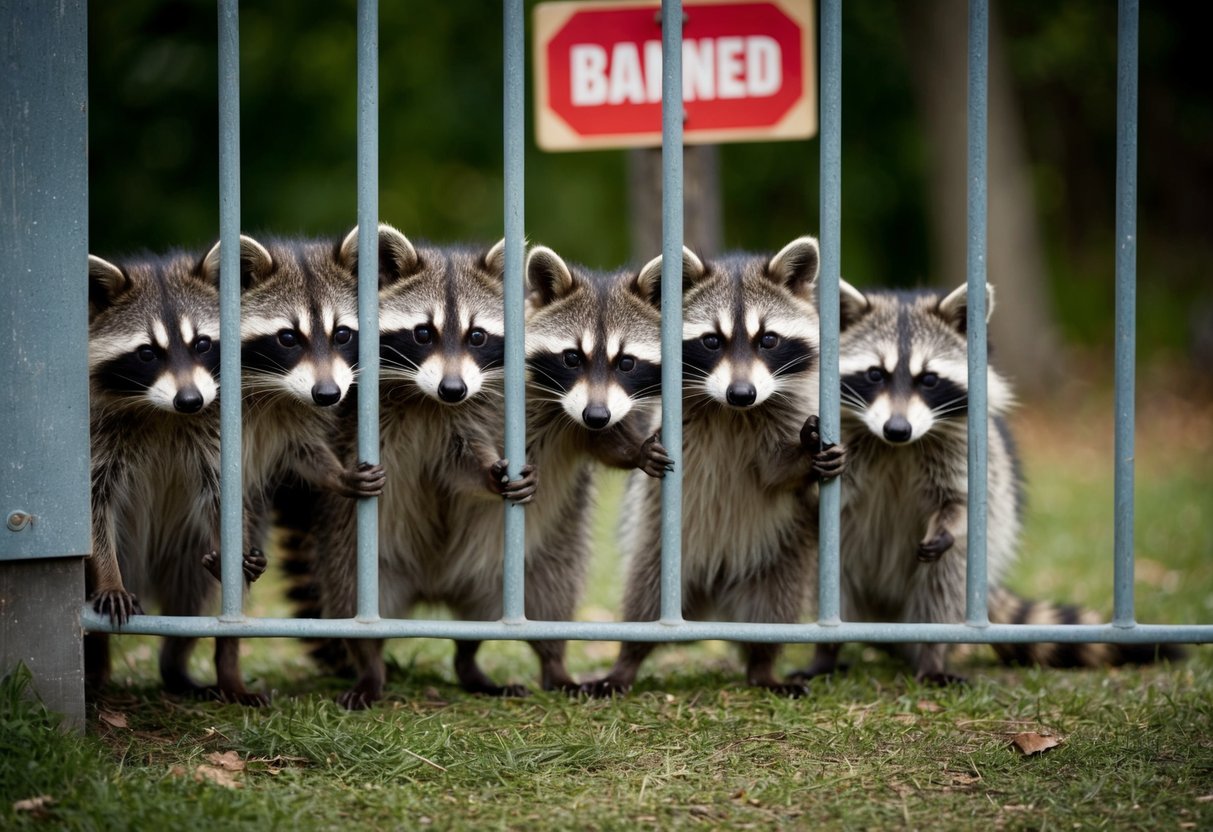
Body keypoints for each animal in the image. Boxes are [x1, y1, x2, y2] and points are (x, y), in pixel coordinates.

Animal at [86, 250, 263, 704]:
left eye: (201, 344)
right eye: (148, 353)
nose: (190, 400)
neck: (162, 411)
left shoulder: (213, 435)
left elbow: (223, 498)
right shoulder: (97, 437)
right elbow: (93, 509)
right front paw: (108, 574)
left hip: (187, 556)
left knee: (206, 599)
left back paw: (209, 668)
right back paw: (96, 666)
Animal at [315, 225, 536, 709]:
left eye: (477, 336)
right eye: (422, 333)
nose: (453, 389)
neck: (430, 399)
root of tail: (428, 585)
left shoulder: (467, 414)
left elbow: (461, 464)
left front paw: (492, 473)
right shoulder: (360, 409)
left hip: (485, 577)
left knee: (485, 615)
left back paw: (472, 666)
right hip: (359, 565)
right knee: (353, 608)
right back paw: (370, 670)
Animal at [583, 237, 846, 697]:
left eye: (768, 339)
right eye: (711, 341)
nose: (742, 393)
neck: (733, 412)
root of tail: (715, 589)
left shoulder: (785, 409)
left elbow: (776, 474)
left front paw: (805, 452)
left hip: (779, 558)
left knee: (773, 612)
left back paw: (763, 666)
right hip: (661, 553)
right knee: (644, 600)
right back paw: (625, 662)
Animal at [794, 281, 1183, 684]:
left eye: (929, 379)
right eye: (875, 374)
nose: (897, 429)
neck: (896, 448)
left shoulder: (967, 449)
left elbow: (969, 500)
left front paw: (951, 519)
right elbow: (810, 499)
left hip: (969, 563)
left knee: (945, 586)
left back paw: (931, 656)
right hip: (838, 559)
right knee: (833, 586)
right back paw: (826, 653)